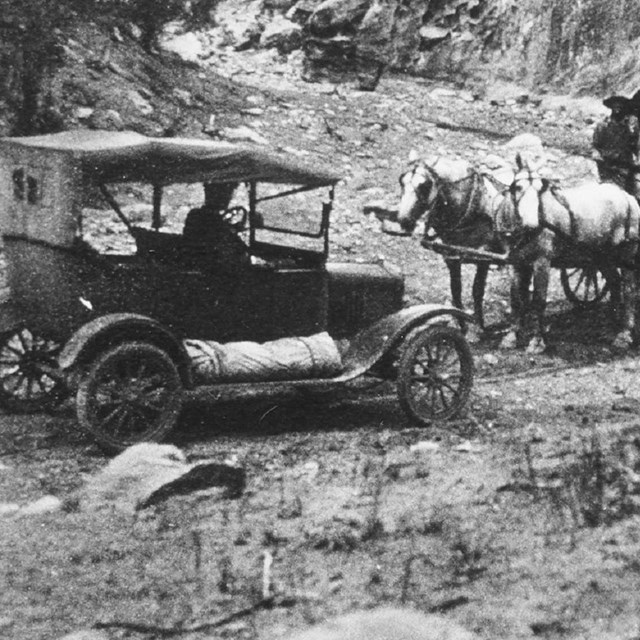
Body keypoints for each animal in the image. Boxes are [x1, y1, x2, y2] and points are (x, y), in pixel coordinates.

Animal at [396, 153, 510, 338]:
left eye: (425, 185)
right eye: (402, 181)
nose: (403, 220)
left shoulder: (484, 257)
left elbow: (477, 291)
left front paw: (480, 327)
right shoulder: (452, 257)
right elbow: (456, 291)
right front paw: (463, 328)